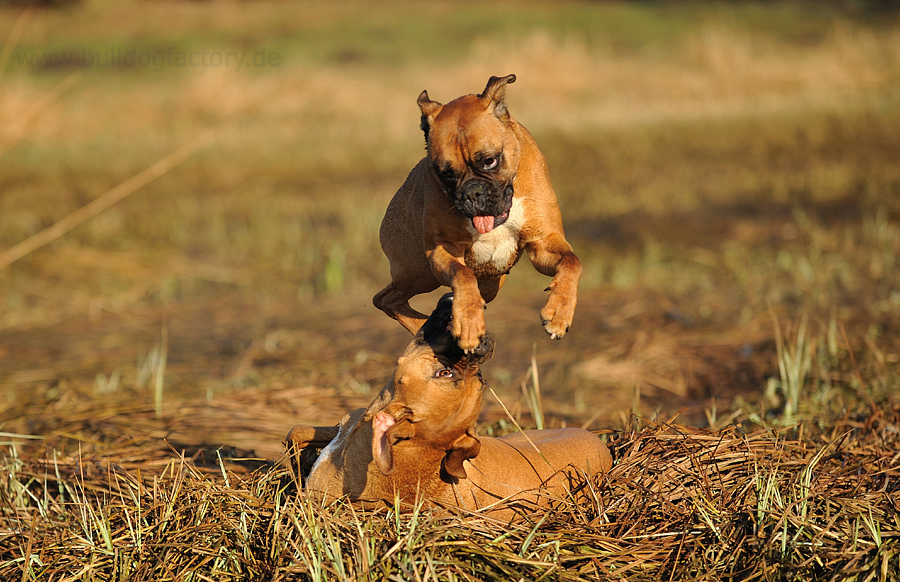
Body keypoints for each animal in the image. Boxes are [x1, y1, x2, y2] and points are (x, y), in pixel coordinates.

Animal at [372, 75, 584, 354]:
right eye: (446, 173)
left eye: (490, 161)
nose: (472, 192)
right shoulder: (442, 250)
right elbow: (462, 275)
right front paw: (468, 322)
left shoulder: (543, 244)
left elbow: (572, 262)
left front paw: (559, 311)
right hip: (419, 273)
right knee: (385, 299)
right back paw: (428, 329)